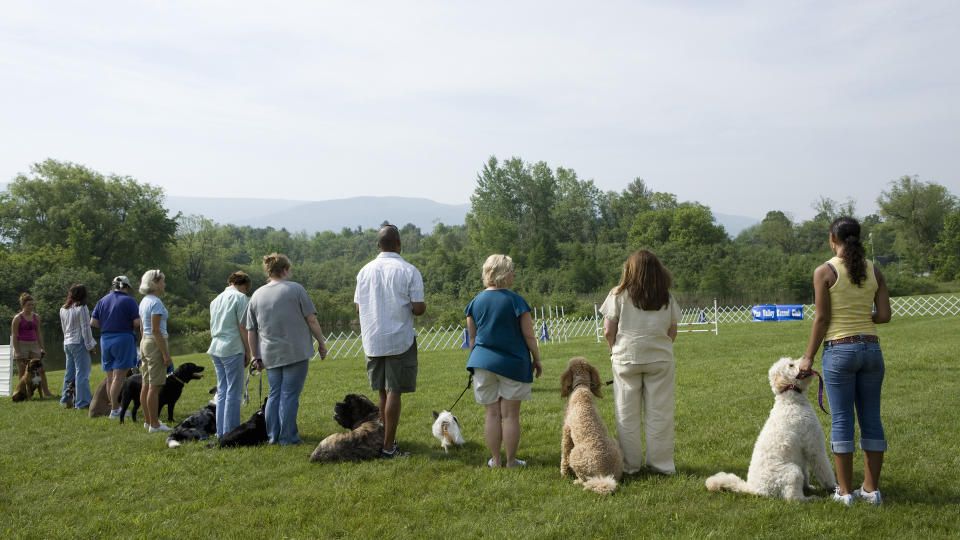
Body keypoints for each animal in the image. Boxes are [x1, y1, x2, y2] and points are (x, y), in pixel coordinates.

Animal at [700, 356, 836, 500]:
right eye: (791, 365)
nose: (806, 359)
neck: (791, 402)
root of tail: (754, 489)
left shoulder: (802, 452)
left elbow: (807, 472)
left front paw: (810, 486)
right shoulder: (814, 445)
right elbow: (824, 468)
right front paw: (833, 487)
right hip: (792, 472)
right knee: (793, 498)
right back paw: (812, 499)